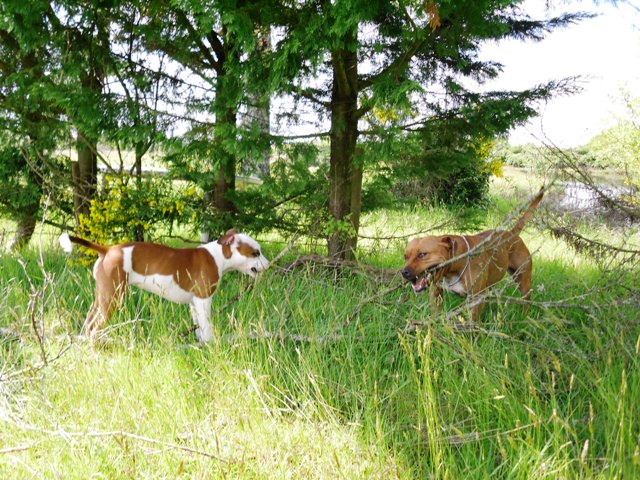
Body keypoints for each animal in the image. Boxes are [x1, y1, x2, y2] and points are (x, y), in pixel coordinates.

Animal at [58, 229, 268, 342]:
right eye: (255, 253)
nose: (268, 264)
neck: (218, 256)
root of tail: (108, 250)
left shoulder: (194, 304)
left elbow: (199, 329)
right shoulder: (203, 300)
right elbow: (207, 328)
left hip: (102, 297)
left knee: (88, 324)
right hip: (112, 299)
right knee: (94, 327)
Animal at [402, 189, 544, 320]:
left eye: (422, 254)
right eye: (405, 256)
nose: (403, 272)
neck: (454, 267)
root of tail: (512, 234)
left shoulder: (475, 298)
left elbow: (472, 322)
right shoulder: (436, 292)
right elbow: (435, 314)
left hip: (523, 280)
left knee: (526, 301)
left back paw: (525, 317)